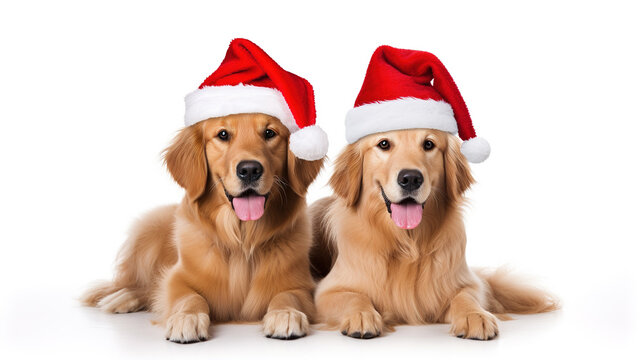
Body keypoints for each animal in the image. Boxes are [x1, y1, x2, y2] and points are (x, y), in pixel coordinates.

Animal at [82, 113, 322, 344]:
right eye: (223, 134)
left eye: (270, 133)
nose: (250, 170)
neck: (242, 241)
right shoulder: (177, 278)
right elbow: (189, 297)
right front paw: (186, 318)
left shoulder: (303, 285)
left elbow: (288, 295)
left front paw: (286, 314)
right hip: (148, 230)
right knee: (139, 284)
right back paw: (120, 297)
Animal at [310, 129, 556, 340]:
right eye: (384, 144)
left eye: (428, 144)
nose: (410, 178)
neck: (407, 243)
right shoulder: (326, 291)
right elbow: (353, 296)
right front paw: (361, 315)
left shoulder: (470, 283)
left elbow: (466, 296)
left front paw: (474, 316)